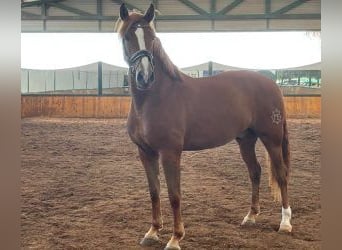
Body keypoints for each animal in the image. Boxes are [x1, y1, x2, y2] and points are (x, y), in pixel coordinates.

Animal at [116, 3, 292, 250]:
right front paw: (152, 232)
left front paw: (175, 238)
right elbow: (154, 192)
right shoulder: (145, 152)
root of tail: (272, 84)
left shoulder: (170, 152)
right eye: (127, 37)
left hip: (272, 139)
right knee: (255, 171)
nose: (144, 76)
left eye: (152, 38)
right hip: (246, 139)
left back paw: (285, 223)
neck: (155, 98)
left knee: (282, 174)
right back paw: (250, 217)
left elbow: (174, 195)